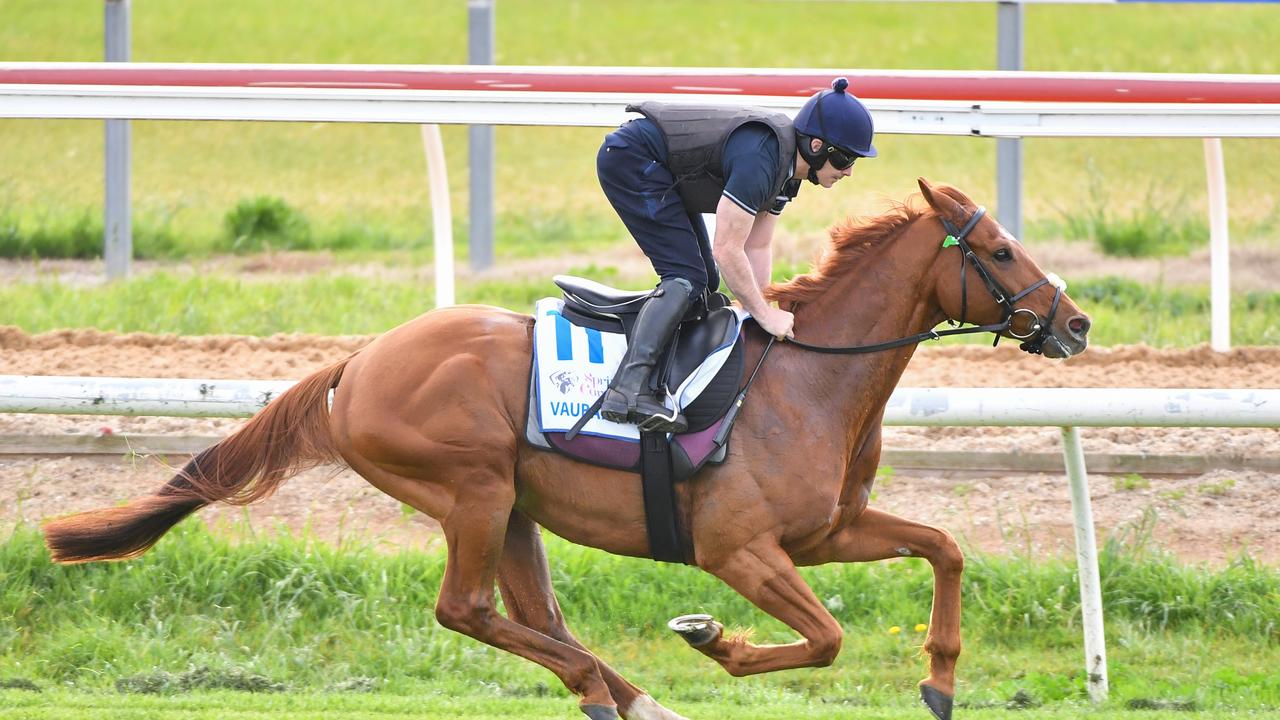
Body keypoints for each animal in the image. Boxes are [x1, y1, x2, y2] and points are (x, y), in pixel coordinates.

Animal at [47, 178, 1090, 717]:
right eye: (1000, 251)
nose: (1075, 324)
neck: (806, 377)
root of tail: (360, 359)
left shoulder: (826, 532)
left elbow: (943, 548)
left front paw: (940, 680)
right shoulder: (738, 550)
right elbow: (825, 638)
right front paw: (713, 640)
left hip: (513, 505)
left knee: (531, 614)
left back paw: (627, 695)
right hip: (469, 489)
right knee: (467, 611)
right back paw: (616, 690)